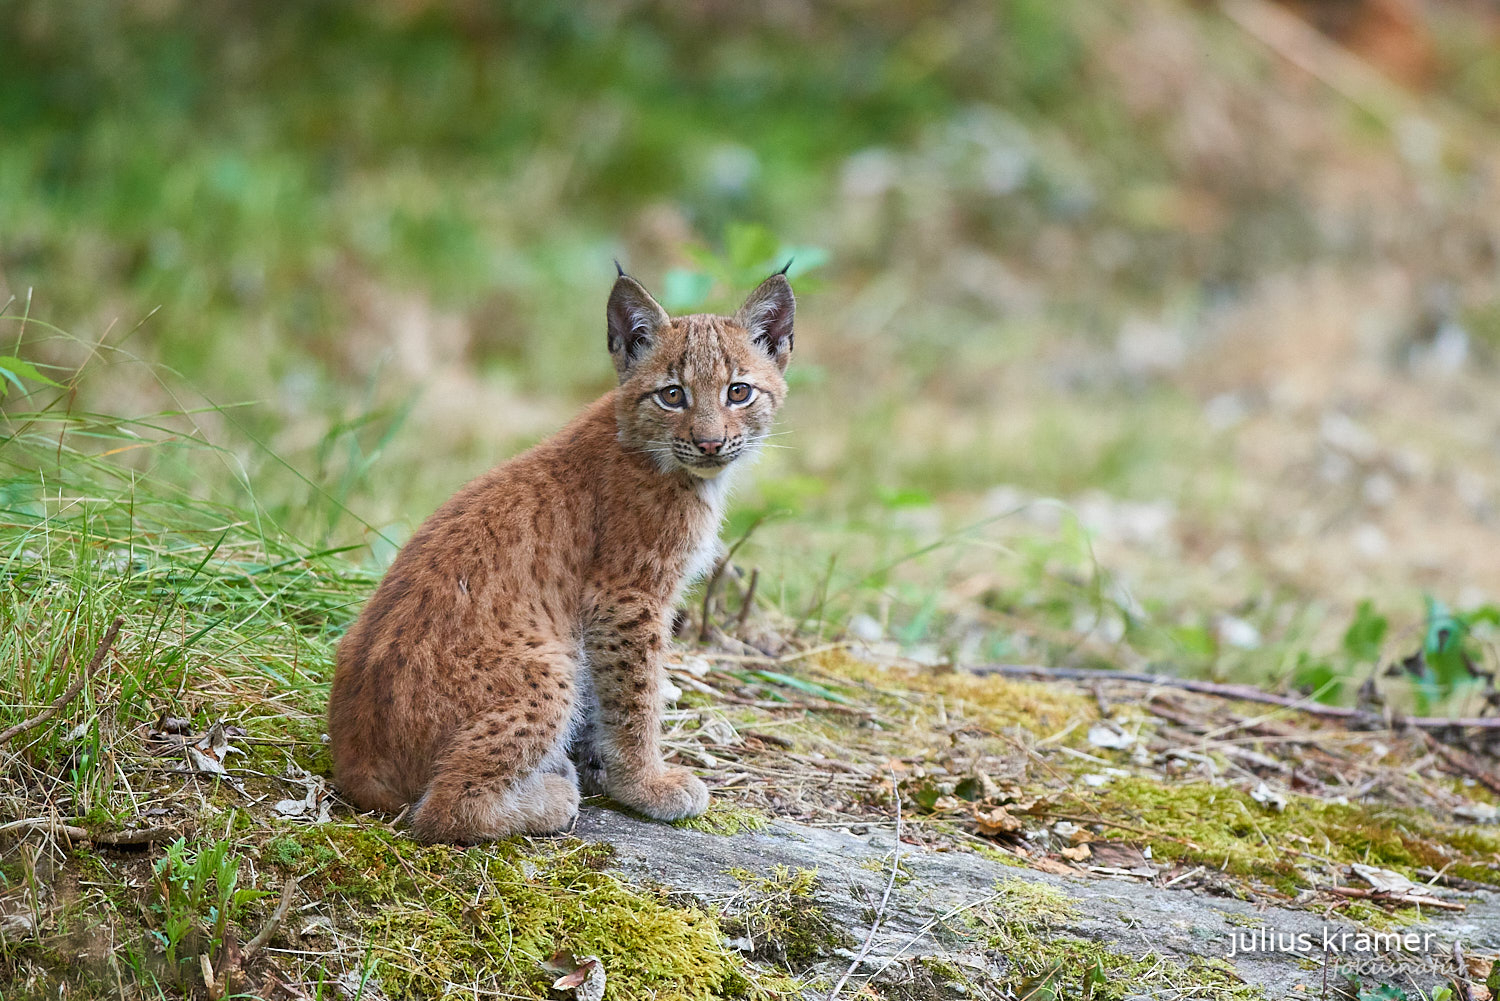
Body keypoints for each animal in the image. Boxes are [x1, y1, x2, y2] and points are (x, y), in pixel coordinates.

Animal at [330, 264, 798, 840]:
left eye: (738, 392)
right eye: (672, 395)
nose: (710, 444)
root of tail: (352, 759)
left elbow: (609, 695)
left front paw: (606, 769)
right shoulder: (626, 596)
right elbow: (637, 697)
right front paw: (645, 784)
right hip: (548, 666)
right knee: (440, 811)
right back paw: (552, 797)